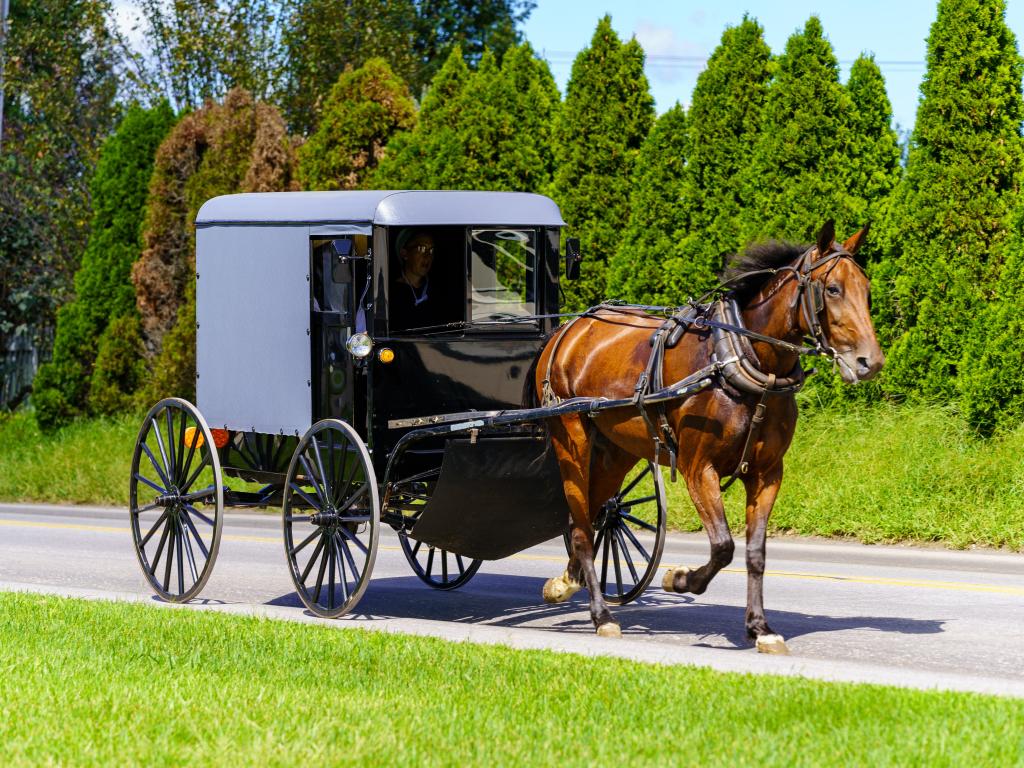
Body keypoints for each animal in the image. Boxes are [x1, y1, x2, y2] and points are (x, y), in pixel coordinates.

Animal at [536, 222, 880, 655]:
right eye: (832, 289)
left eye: (866, 289)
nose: (870, 362)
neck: (740, 360)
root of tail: (569, 329)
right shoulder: (699, 468)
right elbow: (723, 546)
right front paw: (680, 578)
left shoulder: (767, 473)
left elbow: (755, 552)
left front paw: (760, 627)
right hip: (571, 441)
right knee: (581, 529)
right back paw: (602, 616)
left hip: (617, 450)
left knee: (593, 513)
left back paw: (567, 582)